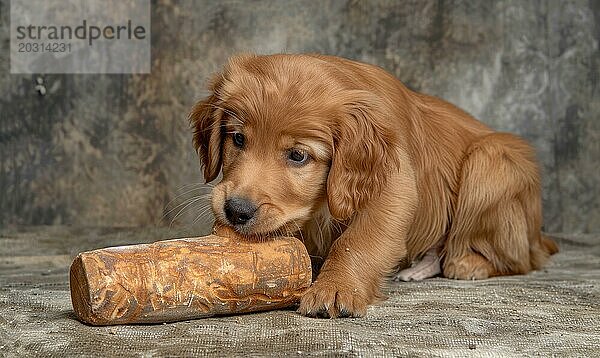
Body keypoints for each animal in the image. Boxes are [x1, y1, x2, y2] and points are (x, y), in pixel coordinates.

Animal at [190, 52, 560, 316]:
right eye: (238, 139)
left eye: (298, 156)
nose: (236, 211)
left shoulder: (393, 187)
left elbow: (357, 242)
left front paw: (335, 288)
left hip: (490, 162)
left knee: (521, 259)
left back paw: (468, 263)